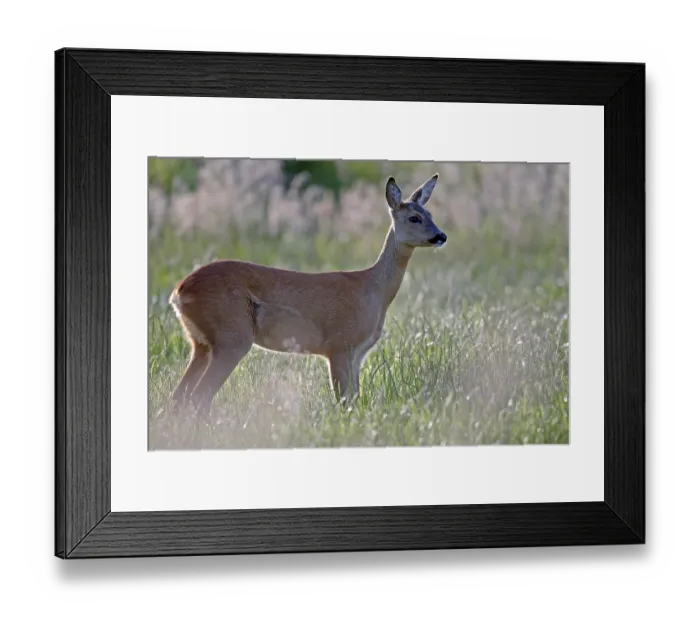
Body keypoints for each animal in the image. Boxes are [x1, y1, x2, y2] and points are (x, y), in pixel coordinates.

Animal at [168, 173, 447, 415]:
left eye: (430, 214)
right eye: (414, 218)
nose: (441, 236)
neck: (373, 290)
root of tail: (178, 292)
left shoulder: (357, 354)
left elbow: (355, 399)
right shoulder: (339, 344)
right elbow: (344, 402)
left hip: (201, 343)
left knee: (179, 396)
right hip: (232, 337)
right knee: (199, 396)